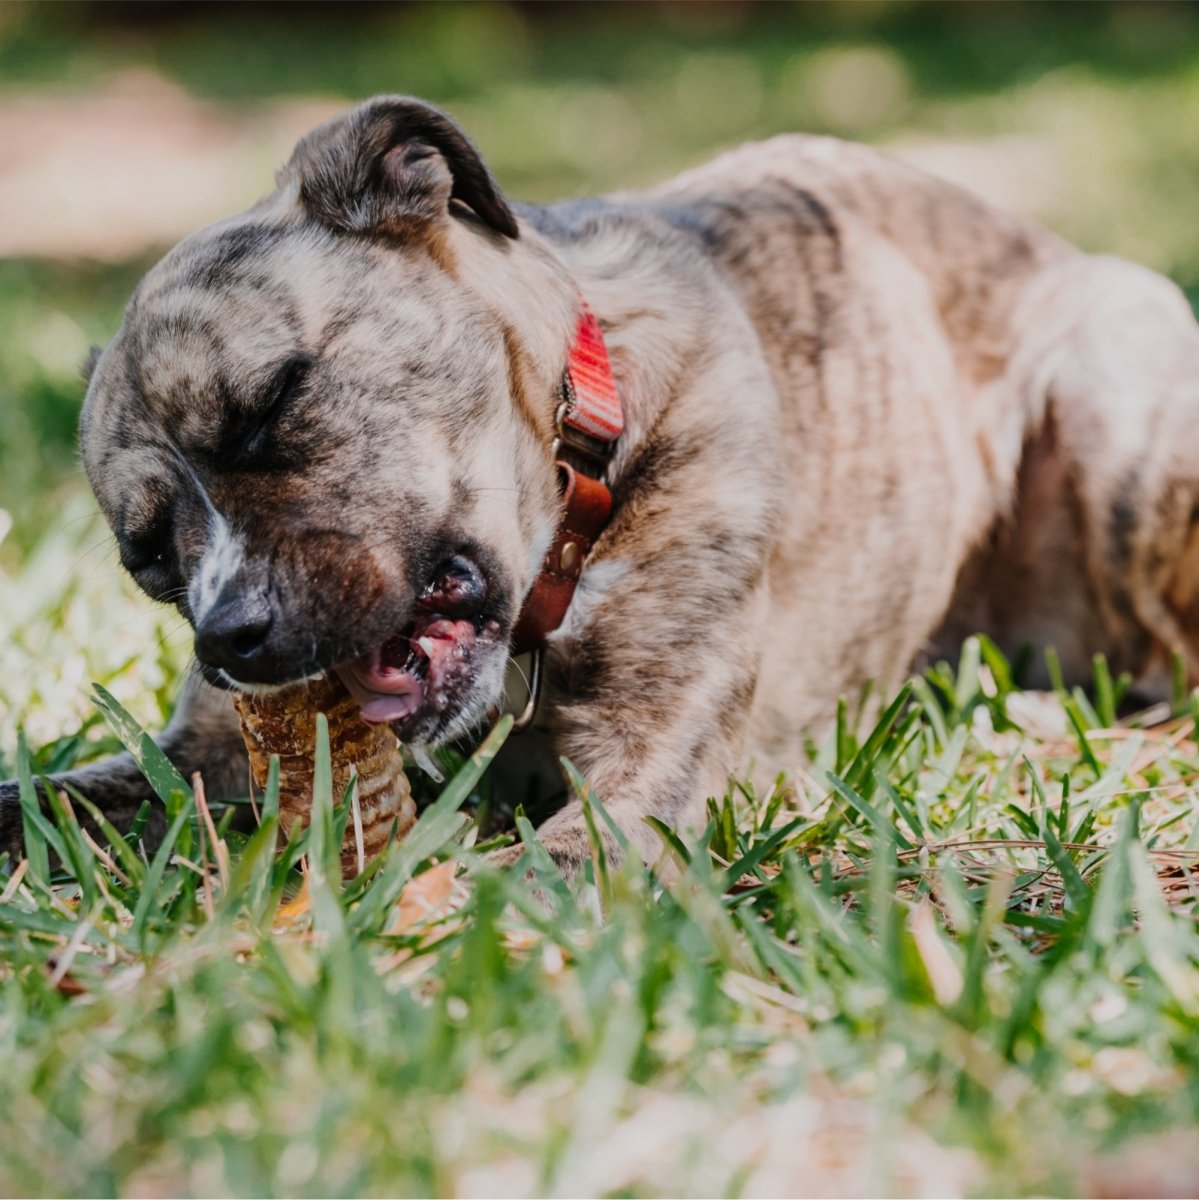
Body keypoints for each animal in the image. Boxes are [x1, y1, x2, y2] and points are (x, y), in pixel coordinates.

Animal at [2, 98, 1199, 873]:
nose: (229, 641)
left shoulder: (648, 767)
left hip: (1111, 404)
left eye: (274, 400)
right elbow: (42, 802)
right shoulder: (200, 759)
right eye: (150, 562)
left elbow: (539, 869)